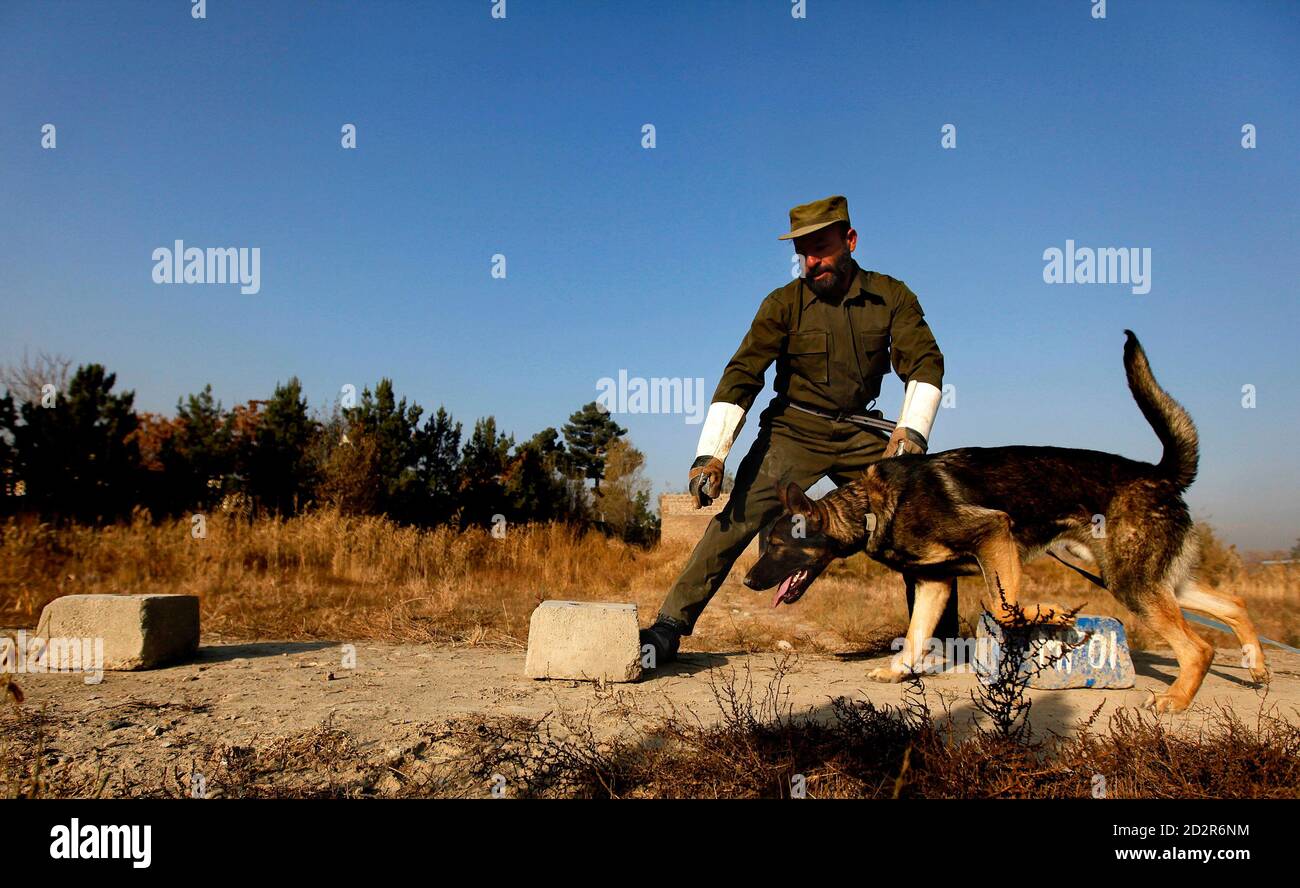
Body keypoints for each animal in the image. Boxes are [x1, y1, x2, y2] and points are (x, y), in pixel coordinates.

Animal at [748, 330, 1263, 712]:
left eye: (777, 546)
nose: (750, 582)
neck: (874, 506)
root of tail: (1157, 474)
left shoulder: (994, 534)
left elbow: (1003, 606)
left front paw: (1049, 612)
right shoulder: (934, 582)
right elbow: (915, 636)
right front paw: (897, 673)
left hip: (1132, 582)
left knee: (1199, 647)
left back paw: (1175, 700)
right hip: (1146, 578)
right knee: (1234, 603)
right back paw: (1255, 665)